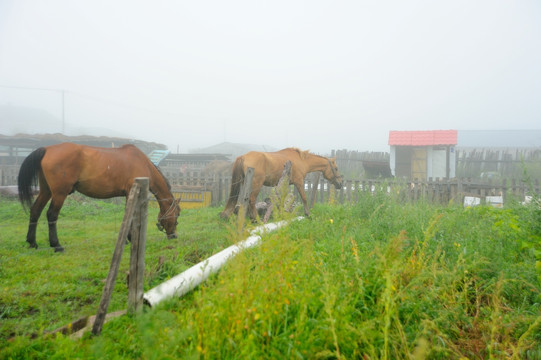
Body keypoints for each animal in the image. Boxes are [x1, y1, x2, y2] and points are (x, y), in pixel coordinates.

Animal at [17, 142, 180, 252]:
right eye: (177, 214)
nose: (174, 236)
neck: (142, 162)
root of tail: (47, 149)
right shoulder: (132, 193)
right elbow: (131, 216)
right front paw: (130, 238)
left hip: (46, 191)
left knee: (35, 211)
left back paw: (32, 242)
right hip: (59, 193)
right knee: (51, 215)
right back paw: (56, 245)